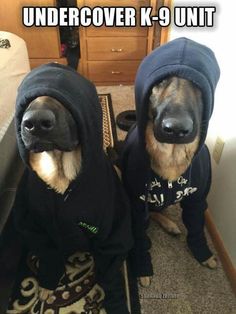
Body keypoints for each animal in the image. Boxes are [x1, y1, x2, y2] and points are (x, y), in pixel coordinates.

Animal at [140, 76, 216, 288]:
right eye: (162, 81)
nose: (175, 129)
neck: (172, 156)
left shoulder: (197, 202)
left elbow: (197, 227)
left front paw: (203, 253)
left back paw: (169, 224)